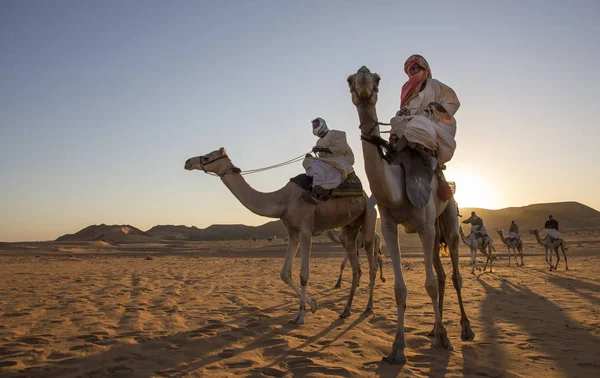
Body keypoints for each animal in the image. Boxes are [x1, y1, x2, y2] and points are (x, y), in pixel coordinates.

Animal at [185, 147, 378, 322]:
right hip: (350, 228)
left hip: (369, 215)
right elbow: (284, 273)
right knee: (356, 267)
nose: (188, 162)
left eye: (207, 156)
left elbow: (304, 274)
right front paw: (313, 305)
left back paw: (368, 308)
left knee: (371, 263)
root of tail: (365, 194)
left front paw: (300, 315)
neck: (283, 200)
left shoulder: (306, 231)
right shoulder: (292, 232)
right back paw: (346, 310)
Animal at [346, 65, 474, 364]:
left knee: (454, 275)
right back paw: (433, 329)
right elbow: (400, 288)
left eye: (377, 78)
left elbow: (429, 284)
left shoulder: (425, 226)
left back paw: (463, 329)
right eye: (349, 80)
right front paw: (397, 349)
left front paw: (445, 338)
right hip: (435, 232)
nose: (363, 76)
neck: (395, 189)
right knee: (441, 274)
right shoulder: (389, 227)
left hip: (448, 222)